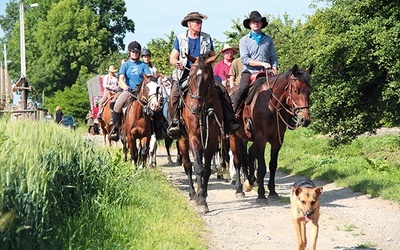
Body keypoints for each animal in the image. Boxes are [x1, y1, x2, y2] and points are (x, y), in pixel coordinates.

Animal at [177, 52, 223, 213]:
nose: (194, 108)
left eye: (207, 78)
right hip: (182, 140)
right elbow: (197, 167)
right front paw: (201, 200)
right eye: (190, 76)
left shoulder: (212, 139)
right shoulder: (194, 137)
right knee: (187, 165)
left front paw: (203, 196)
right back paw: (192, 193)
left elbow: (207, 169)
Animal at [228, 64, 312, 201]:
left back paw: (250, 181)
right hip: (234, 137)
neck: (271, 105)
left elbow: (272, 165)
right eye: (295, 90)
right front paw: (261, 194)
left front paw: (272, 191)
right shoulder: (261, 139)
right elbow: (262, 167)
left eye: (310, 91)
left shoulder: (277, 140)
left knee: (248, 155)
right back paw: (239, 189)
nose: (305, 119)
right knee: (237, 160)